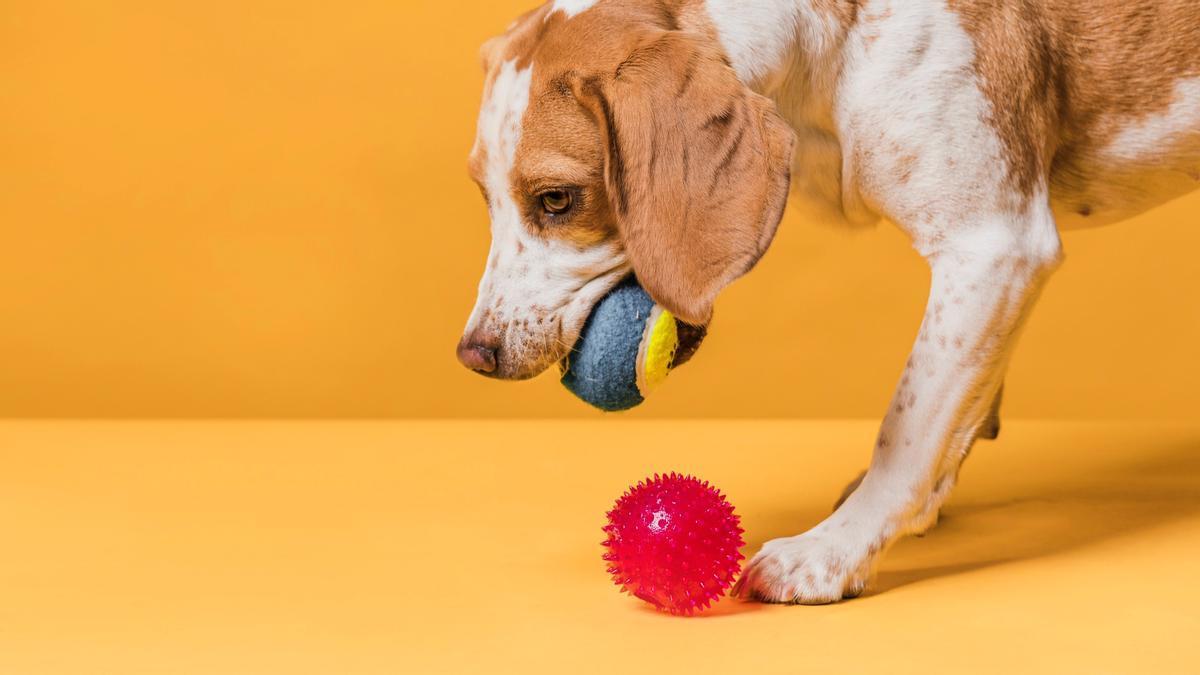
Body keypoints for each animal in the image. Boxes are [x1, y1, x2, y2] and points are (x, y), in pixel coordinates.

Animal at [451, 0, 1200, 598]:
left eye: (557, 199)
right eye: (485, 197)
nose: (474, 354)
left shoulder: (993, 244)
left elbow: (907, 428)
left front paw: (834, 550)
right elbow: (955, 412)